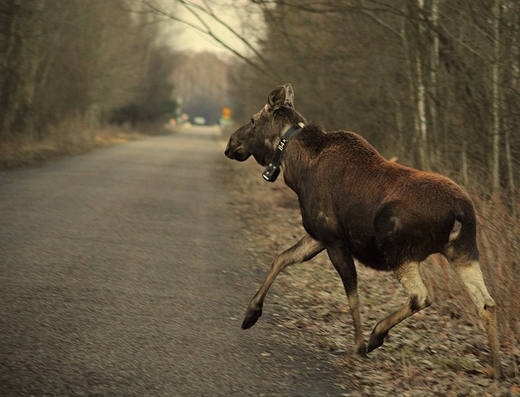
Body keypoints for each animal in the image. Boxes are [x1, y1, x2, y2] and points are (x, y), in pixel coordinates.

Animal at [225, 83, 502, 378]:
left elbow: (352, 295)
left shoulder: (334, 240)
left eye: (253, 120)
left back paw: (375, 335)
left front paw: (357, 346)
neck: (296, 170)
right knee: (486, 302)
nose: (230, 144)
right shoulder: (318, 236)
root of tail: (460, 211)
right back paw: (496, 370)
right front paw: (251, 313)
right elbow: (281, 258)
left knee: (422, 296)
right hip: (464, 252)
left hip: (397, 249)